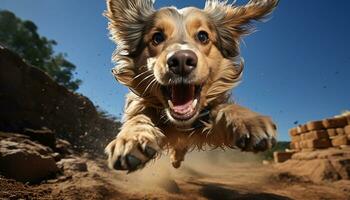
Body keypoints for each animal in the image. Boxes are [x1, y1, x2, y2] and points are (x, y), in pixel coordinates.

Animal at [104, 0, 278, 172]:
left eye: (203, 36)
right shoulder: (141, 105)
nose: (181, 61)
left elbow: (223, 108)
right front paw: (131, 139)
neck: (181, 125)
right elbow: (138, 118)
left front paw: (248, 120)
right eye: (157, 37)